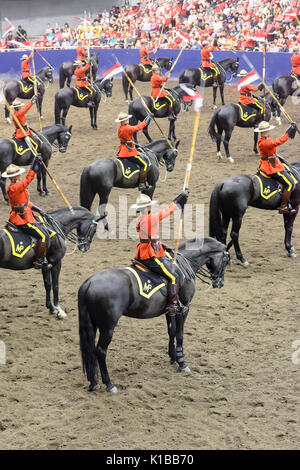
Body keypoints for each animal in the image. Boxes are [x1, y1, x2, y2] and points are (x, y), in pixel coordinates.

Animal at [78, 237, 230, 392]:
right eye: (226, 260)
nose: (220, 283)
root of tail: (89, 283)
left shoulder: (171, 310)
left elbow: (172, 332)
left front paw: (173, 357)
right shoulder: (184, 309)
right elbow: (180, 335)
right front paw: (182, 362)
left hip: (93, 324)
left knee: (90, 351)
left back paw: (93, 382)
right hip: (107, 327)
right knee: (100, 351)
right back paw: (109, 384)